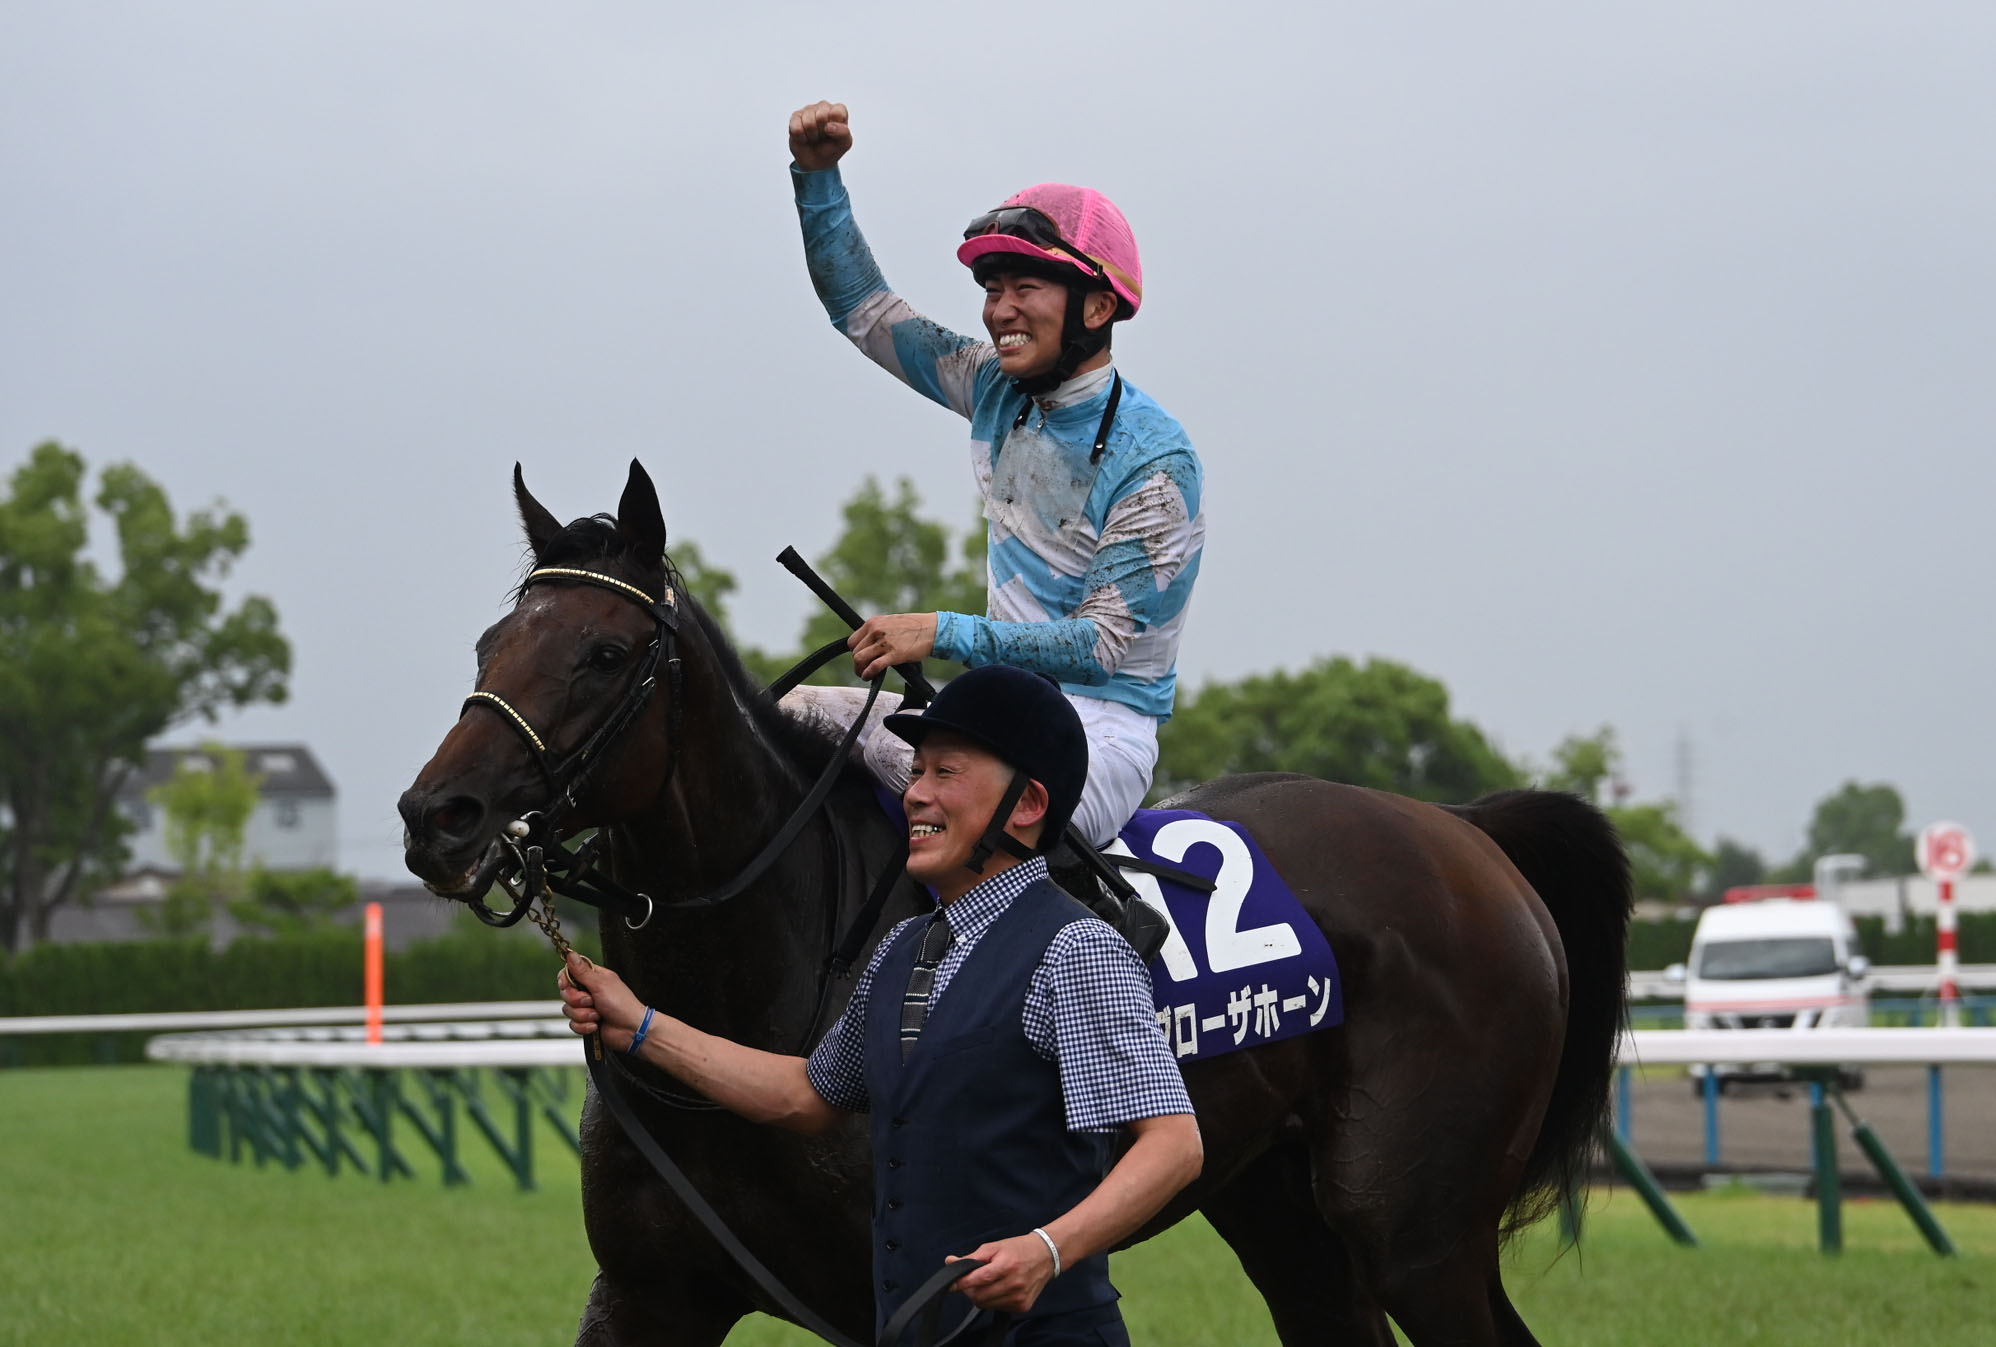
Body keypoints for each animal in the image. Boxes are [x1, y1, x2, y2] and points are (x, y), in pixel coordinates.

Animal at [397, 462, 1628, 1347]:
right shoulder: (648, 1291)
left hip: (1419, 1231)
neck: (767, 979)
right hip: (1283, 1213)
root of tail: (1467, 835)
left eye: (604, 653)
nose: (436, 816)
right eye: (491, 643)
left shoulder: (907, 1290)